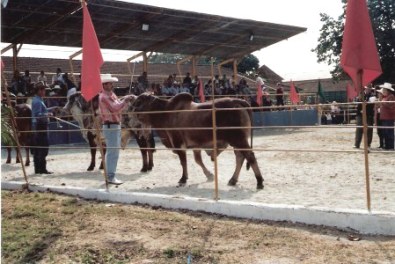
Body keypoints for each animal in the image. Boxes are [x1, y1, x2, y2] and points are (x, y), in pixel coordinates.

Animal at [133, 93, 266, 190]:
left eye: (138, 102)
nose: (131, 111)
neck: (165, 113)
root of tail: (238, 101)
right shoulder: (195, 146)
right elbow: (198, 161)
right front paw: (210, 175)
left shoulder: (178, 144)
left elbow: (183, 162)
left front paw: (183, 179)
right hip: (237, 141)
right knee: (240, 157)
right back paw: (233, 180)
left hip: (239, 139)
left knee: (250, 156)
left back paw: (259, 181)